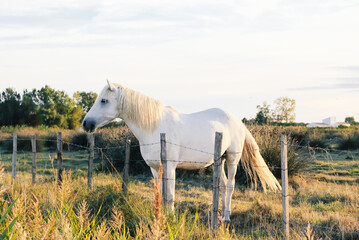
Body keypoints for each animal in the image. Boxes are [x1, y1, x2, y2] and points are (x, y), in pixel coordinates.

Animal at [83, 80, 282, 221]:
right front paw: (159, 216)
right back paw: (218, 214)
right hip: (219, 160)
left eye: (104, 100)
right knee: (223, 185)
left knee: (231, 185)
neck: (154, 128)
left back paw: (226, 217)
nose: (86, 124)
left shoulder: (170, 167)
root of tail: (238, 121)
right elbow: (160, 194)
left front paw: (170, 219)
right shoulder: (155, 168)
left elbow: (170, 196)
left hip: (233, 159)